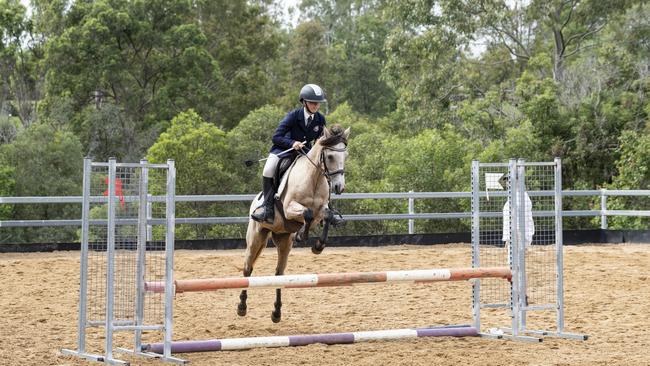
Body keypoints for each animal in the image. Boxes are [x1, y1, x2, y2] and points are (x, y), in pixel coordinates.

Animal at [237, 124, 350, 322]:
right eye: (330, 156)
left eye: (346, 156)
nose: (339, 187)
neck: (314, 178)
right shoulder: (290, 208)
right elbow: (307, 213)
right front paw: (302, 235)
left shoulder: (321, 211)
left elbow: (325, 216)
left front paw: (317, 245)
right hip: (256, 238)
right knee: (247, 269)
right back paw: (242, 307)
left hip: (283, 241)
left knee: (279, 274)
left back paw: (276, 312)